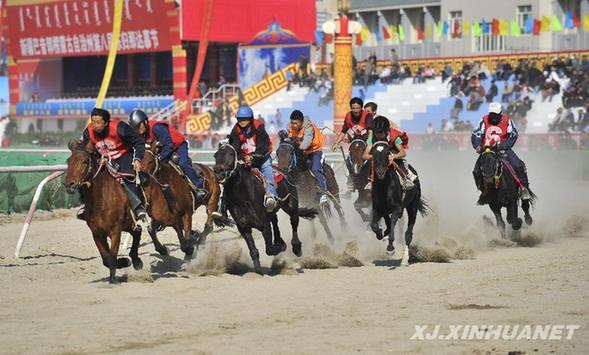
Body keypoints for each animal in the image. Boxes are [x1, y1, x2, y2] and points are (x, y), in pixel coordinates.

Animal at [63, 141, 144, 284]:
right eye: (68, 161)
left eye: (84, 161)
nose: (69, 184)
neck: (101, 199)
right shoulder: (97, 233)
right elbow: (107, 259)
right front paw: (124, 262)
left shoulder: (115, 231)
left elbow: (112, 256)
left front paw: (113, 280)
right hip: (128, 224)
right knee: (137, 231)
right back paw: (136, 260)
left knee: (137, 231)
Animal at [214, 143, 316, 274]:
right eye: (215, 155)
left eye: (231, 154)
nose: (218, 171)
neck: (243, 196)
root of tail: (284, 171)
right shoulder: (244, 227)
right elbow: (254, 251)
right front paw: (258, 271)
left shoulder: (264, 225)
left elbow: (269, 249)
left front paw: (280, 247)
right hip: (272, 211)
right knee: (275, 221)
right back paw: (279, 240)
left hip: (291, 206)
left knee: (294, 221)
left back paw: (296, 248)